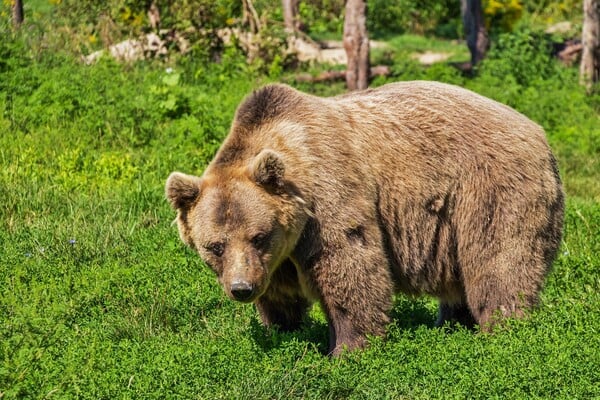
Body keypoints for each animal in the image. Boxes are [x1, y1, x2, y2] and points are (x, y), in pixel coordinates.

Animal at [164, 79, 564, 354]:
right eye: (214, 246)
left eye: (259, 236)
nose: (241, 288)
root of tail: (539, 133)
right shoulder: (277, 258)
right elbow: (279, 294)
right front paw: (281, 330)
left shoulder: (328, 197)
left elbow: (350, 266)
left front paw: (347, 348)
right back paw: (452, 323)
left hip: (489, 189)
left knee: (499, 262)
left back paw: (504, 329)